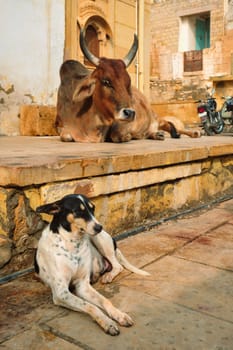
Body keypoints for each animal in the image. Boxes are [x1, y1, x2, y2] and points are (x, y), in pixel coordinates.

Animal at [35, 196, 150, 334]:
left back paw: (108, 276)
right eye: (78, 211)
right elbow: (91, 306)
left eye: (93, 208)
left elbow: (105, 300)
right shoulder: (61, 293)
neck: (72, 242)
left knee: (118, 265)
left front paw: (119, 315)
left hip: (100, 240)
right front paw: (107, 323)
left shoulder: (82, 285)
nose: (99, 227)